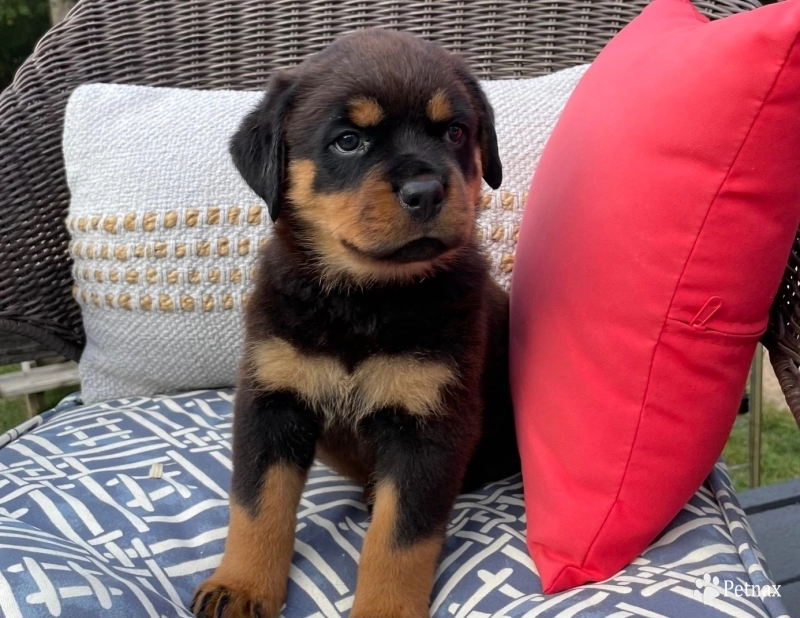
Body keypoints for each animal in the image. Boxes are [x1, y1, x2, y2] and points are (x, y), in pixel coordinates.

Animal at [191, 26, 520, 612]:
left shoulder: (430, 424)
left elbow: (400, 541)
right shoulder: (271, 400)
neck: (364, 300)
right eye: (348, 141)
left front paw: (384, 609)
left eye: (456, 132)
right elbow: (256, 506)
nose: (427, 191)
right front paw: (241, 585)